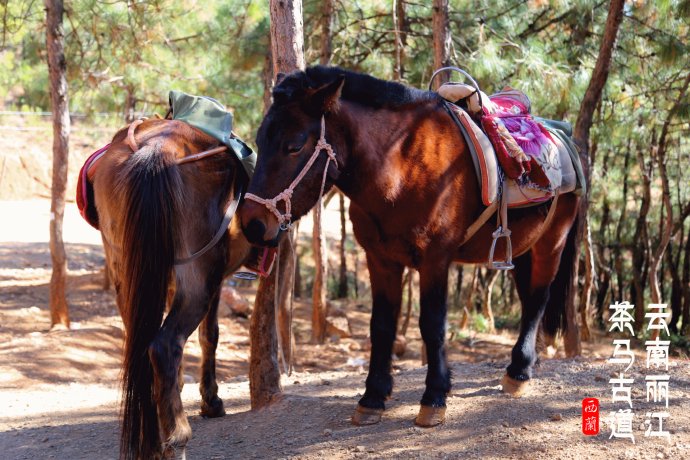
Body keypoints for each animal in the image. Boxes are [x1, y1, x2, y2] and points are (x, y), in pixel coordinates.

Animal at [90, 119, 251, 460]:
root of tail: (157, 149)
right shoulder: (216, 282)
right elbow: (210, 335)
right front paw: (210, 401)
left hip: (126, 271)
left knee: (141, 344)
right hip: (199, 277)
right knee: (165, 345)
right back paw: (176, 439)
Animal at [239, 67, 576, 428]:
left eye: (294, 145)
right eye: (259, 141)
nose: (252, 224)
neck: (401, 165)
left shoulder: (435, 260)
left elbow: (432, 326)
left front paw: (434, 397)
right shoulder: (380, 259)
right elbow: (381, 326)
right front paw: (372, 397)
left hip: (551, 244)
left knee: (538, 300)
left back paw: (519, 372)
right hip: (523, 249)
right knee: (529, 302)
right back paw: (525, 364)